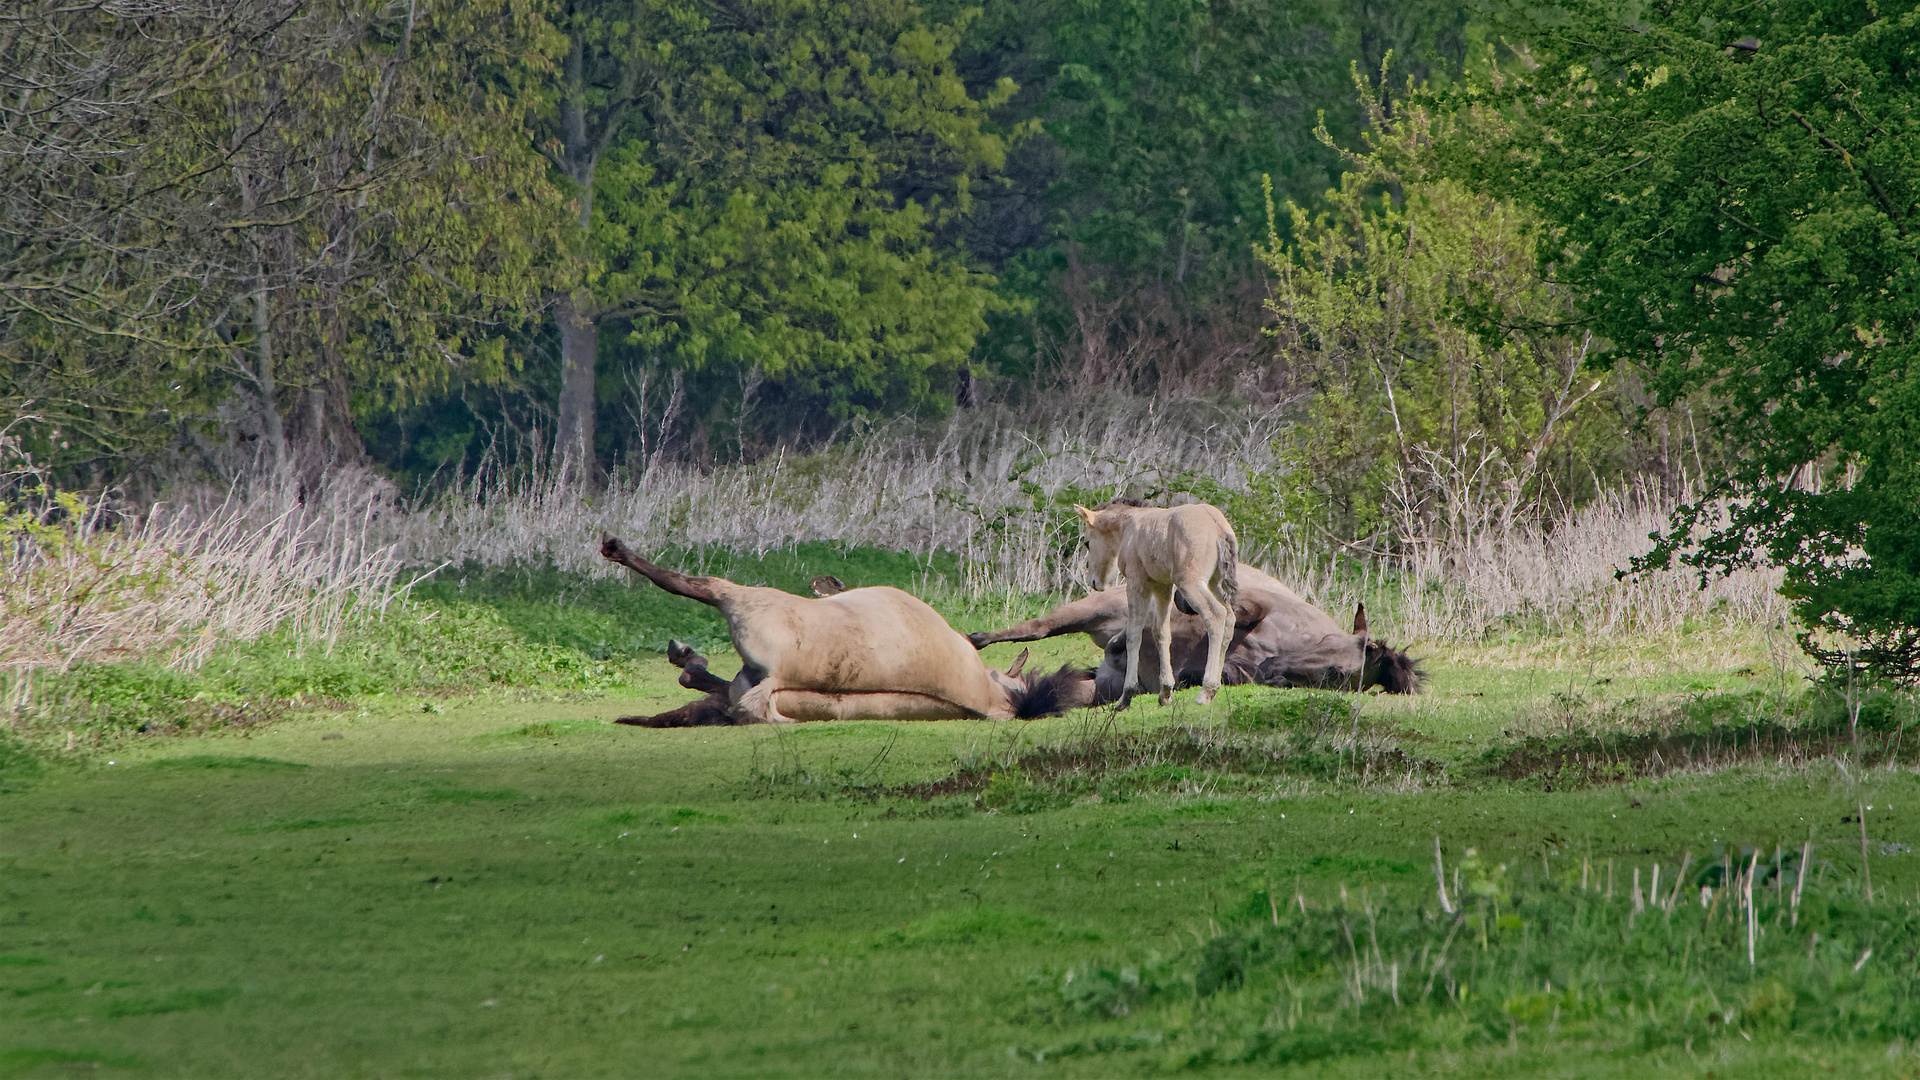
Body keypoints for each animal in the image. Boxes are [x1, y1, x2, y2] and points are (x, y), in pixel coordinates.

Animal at [967, 564, 1420, 699]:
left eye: (1335, 677)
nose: (1272, 669)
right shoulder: (1256, 604)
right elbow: (1229, 610)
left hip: (1105, 684)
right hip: (1094, 609)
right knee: (1035, 629)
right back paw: (975, 640)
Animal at [1075, 499, 1236, 707]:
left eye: (1087, 542)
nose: (1094, 581)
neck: (1129, 525)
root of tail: (1217, 525)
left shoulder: (1137, 583)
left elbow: (1133, 634)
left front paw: (1126, 696)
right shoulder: (1163, 586)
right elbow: (1161, 633)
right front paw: (1165, 693)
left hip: (1190, 583)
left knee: (1216, 615)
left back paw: (1207, 690)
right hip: (1215, 583)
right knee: (1230, 619)